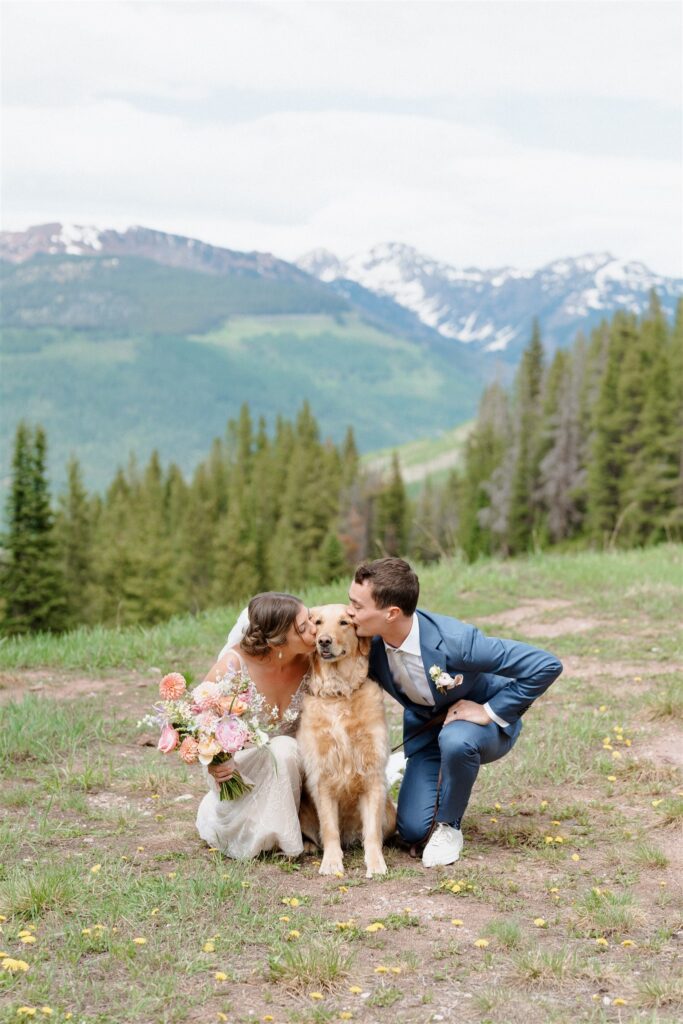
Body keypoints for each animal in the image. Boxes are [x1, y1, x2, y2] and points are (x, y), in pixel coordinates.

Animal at [296, 602, 397, 876]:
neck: (338, 694)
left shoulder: (373, 775)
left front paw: (376, 863)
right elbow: (329, 828)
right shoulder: (322, 776)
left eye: (344, 622)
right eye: (317, 622)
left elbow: (372, 832)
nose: (323, 641)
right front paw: (331, 862)